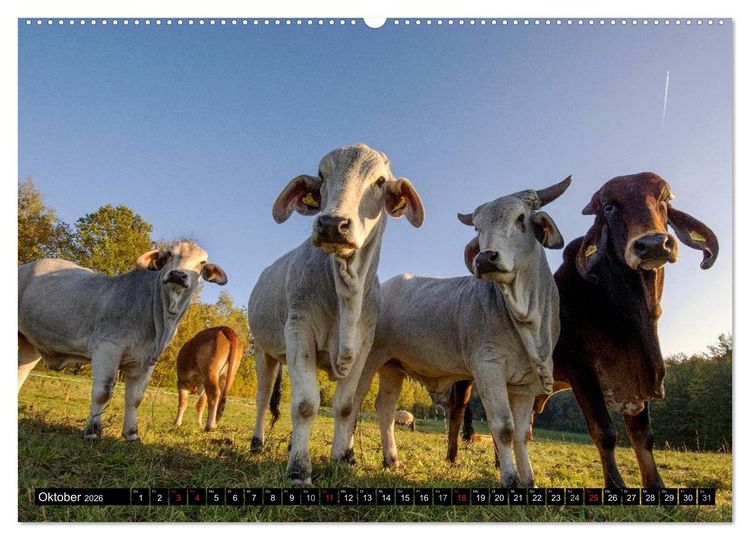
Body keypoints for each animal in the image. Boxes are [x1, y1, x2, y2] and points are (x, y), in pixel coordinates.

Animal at [18, 241, 227, 441]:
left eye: (202, 262)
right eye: (169, 254)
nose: (177, 275)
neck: (158, 326)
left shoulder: (146, 361)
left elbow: (135, 398)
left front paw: (132, 434)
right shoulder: (107, 348)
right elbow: (103, 392)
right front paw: (92, 431)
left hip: (28, 346)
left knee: (21, 372)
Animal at [247, 143, 425, 485]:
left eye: (380, 181)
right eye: (321, 174)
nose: (331, 224)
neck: (346, 294)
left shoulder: (364, 347)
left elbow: (344, 406)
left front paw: (342, 458)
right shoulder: (299, 330)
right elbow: (305, 405)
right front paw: (299, 470)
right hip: (265, 350)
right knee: (262, 397)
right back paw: (257, 443)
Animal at [338, 177, 572, 487]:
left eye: (521, 218)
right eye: (478, 228)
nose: (485, 258)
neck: (527, 320)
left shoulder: (526, 385)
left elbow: (523, 435)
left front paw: (529, 480)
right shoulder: (488, 369)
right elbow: (504, 429)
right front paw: (510, 479)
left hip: (392, 366)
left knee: (385, 408)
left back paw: (392, 460)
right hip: (369, 358)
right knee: (354, 400)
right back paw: (346, 456)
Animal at [448, 172, 719, 488]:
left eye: (664, 200)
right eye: (608, 208)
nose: (652, 244)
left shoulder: (637, 380)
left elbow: (642, 436)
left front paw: (656, 487)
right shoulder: (583, 373)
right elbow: (605, 431)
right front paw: (615, 486)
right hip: (467, 378)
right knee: (457, 412)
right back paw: (452, 458)